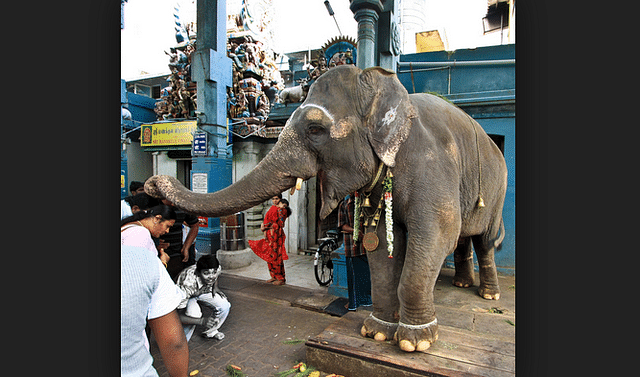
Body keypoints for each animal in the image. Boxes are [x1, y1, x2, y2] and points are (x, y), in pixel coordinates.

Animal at [144, 64, 504, 352]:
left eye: (315, 129)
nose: (151, 184)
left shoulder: (431, 165)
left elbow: (436, 234)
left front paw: (414, 342)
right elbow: (381, 246)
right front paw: (376, 333)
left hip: (497, 191)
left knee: (483, 240)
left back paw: (489, 296)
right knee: (464, 239)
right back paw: (462, 285)